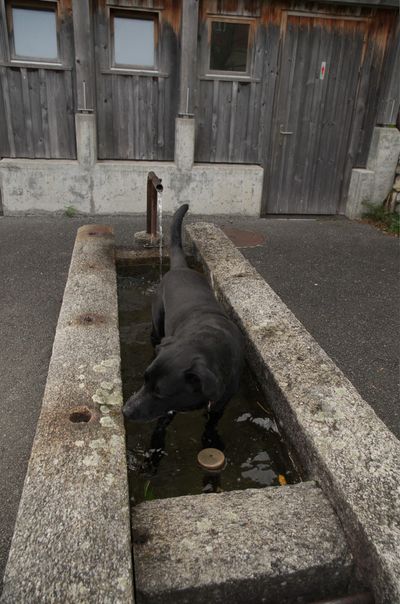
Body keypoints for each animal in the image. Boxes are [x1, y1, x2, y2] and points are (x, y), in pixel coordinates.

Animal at [122, 205, 244, 422]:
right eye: (144, 380)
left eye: (160, 393)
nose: (125, 411)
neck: (207, 341)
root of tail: (180, 267)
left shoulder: (220, 405)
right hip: (157, 323)